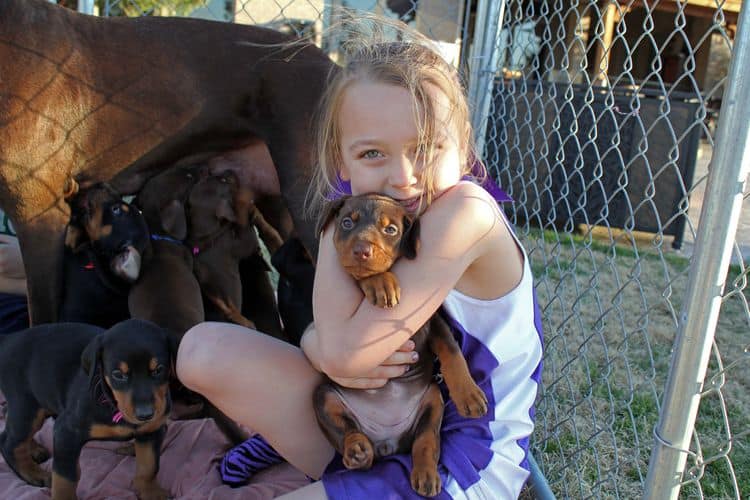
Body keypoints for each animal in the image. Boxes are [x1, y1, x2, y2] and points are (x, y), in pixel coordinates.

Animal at [0, 318, 175, 498]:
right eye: (118, 374)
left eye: (159, 370)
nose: (145, 414)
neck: (111, 402)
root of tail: (9, 338)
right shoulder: (66, 432)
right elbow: (65, 478)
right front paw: (63, 496)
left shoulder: (152, 431)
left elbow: (149, 465)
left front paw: (151, 491)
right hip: (26, 405)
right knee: (8, 442)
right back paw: (35, 473)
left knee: (7, 416)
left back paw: (34, 449)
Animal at [314, 193, 490, 498]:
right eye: (347, 222)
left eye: (391, 229)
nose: (362, 250)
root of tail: (388, 441)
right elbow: (362, 275)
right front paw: (381, 283)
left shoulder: (432, 320)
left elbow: (452, 351)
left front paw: (469, 395)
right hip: (323, 396)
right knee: (346, 431)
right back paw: (357, 450)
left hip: (433, 401)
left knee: (426, 441)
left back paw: (426, 473)